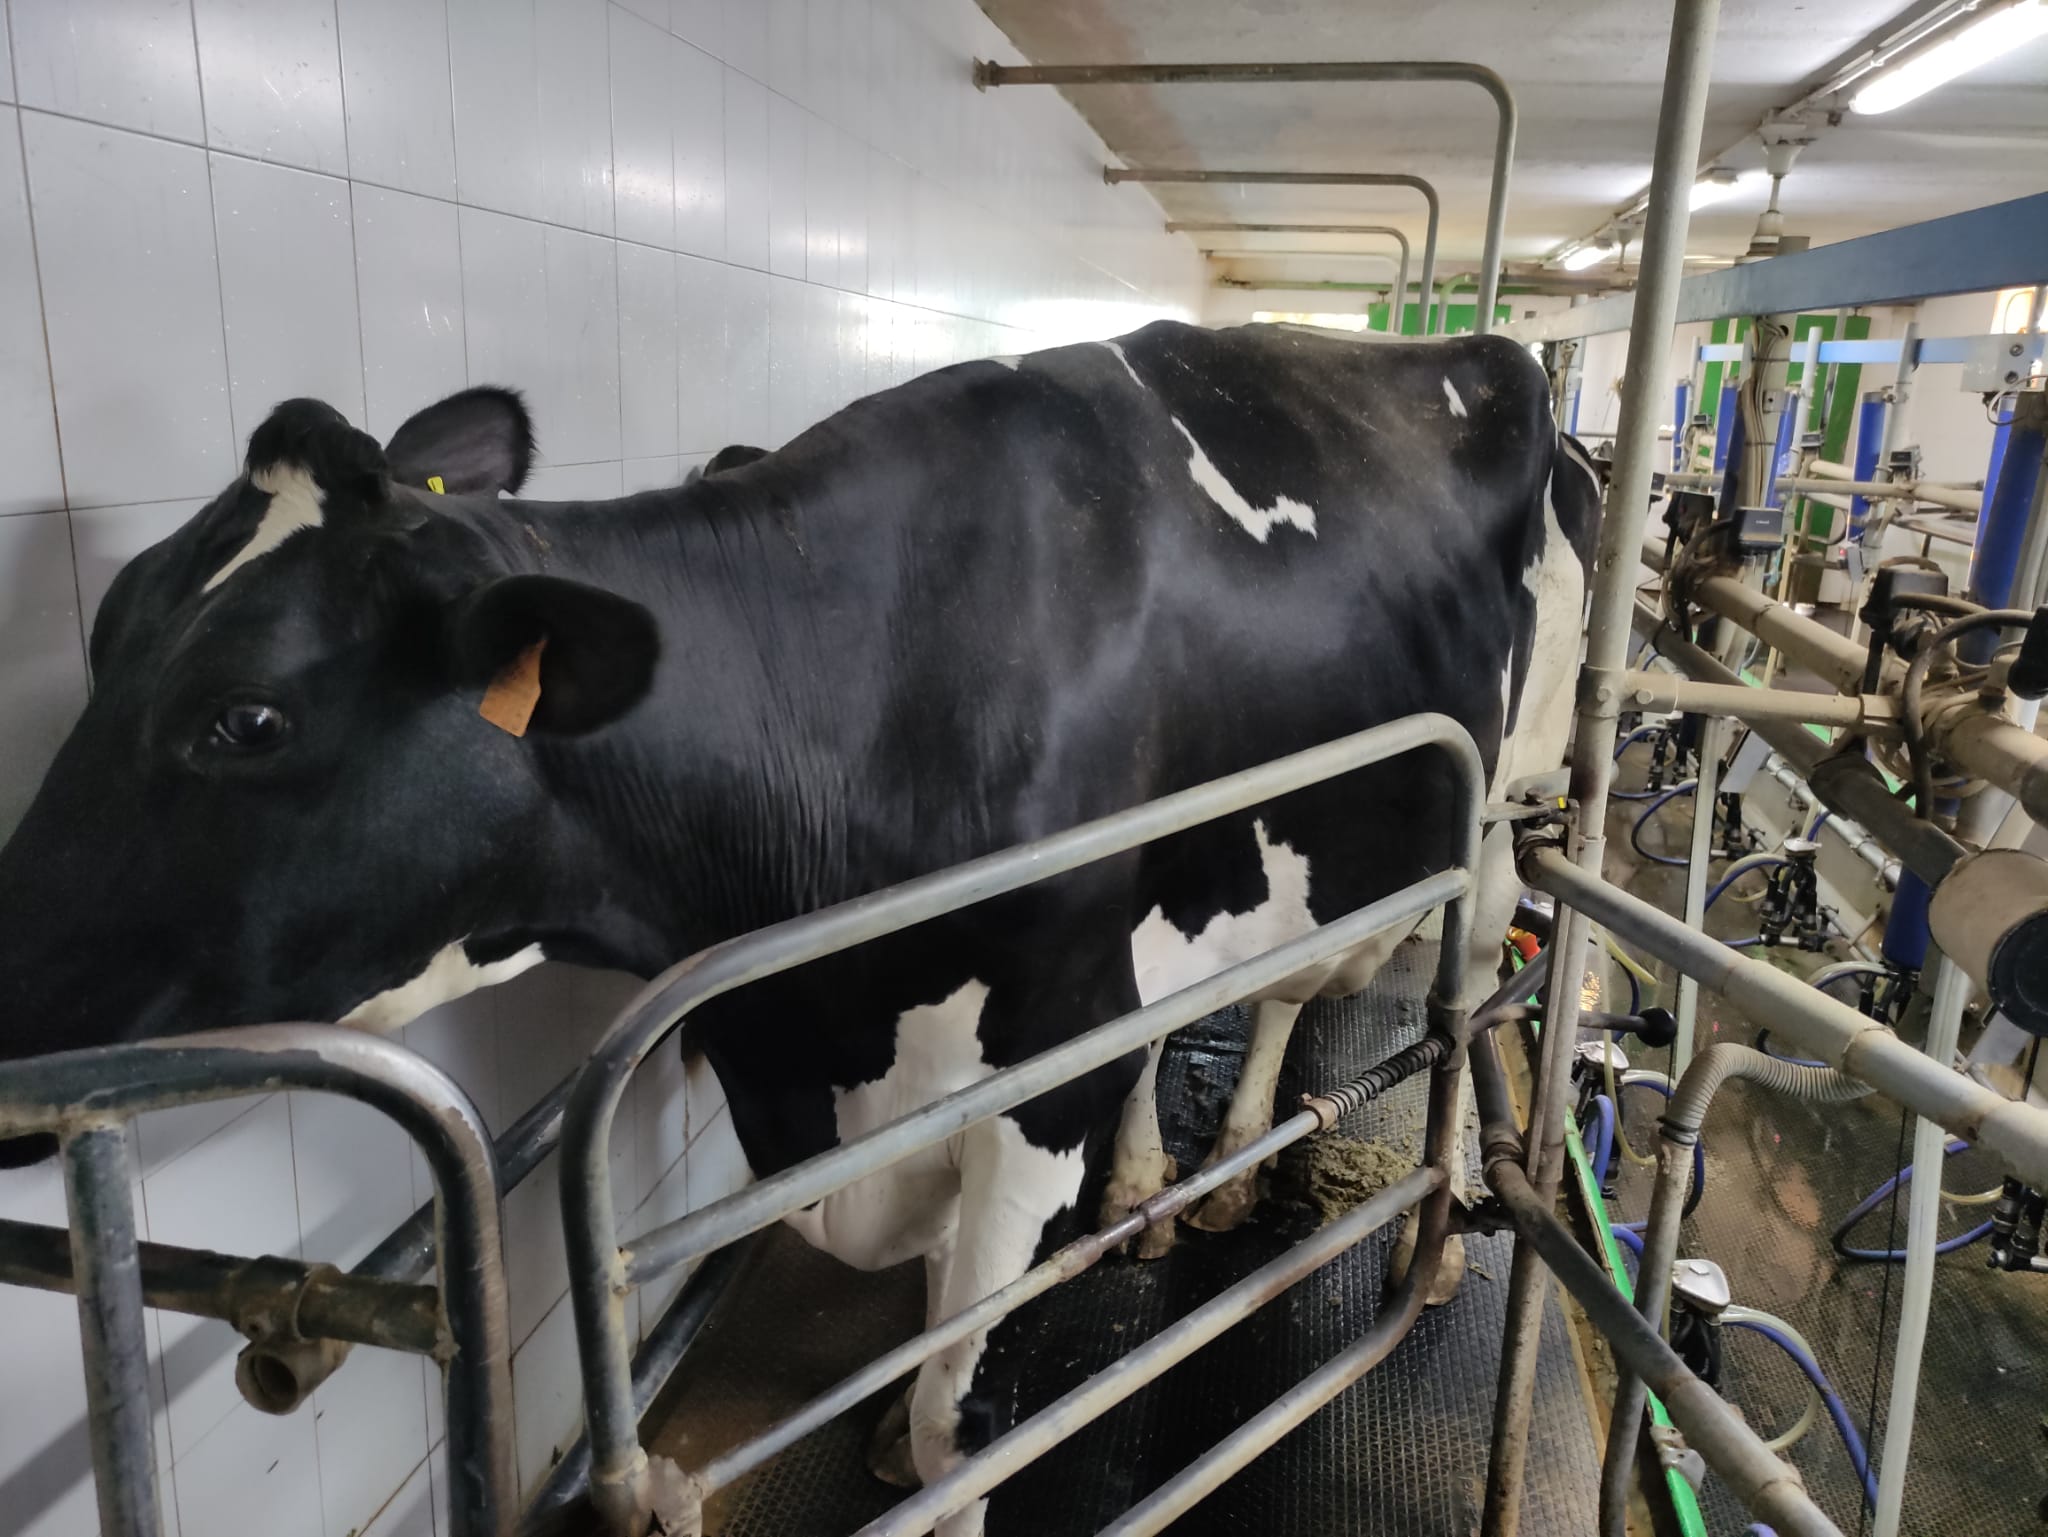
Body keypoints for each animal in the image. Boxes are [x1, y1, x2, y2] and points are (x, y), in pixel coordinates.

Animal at [0, 321, 1597, 1536]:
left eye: (246, 717)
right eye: (108, 627)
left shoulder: (1037, 1063)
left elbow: (966, 1424)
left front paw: (935, 1445)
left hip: (1502, 811)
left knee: (1444, 994)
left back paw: (1409, 1219)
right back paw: (1171, 1178)